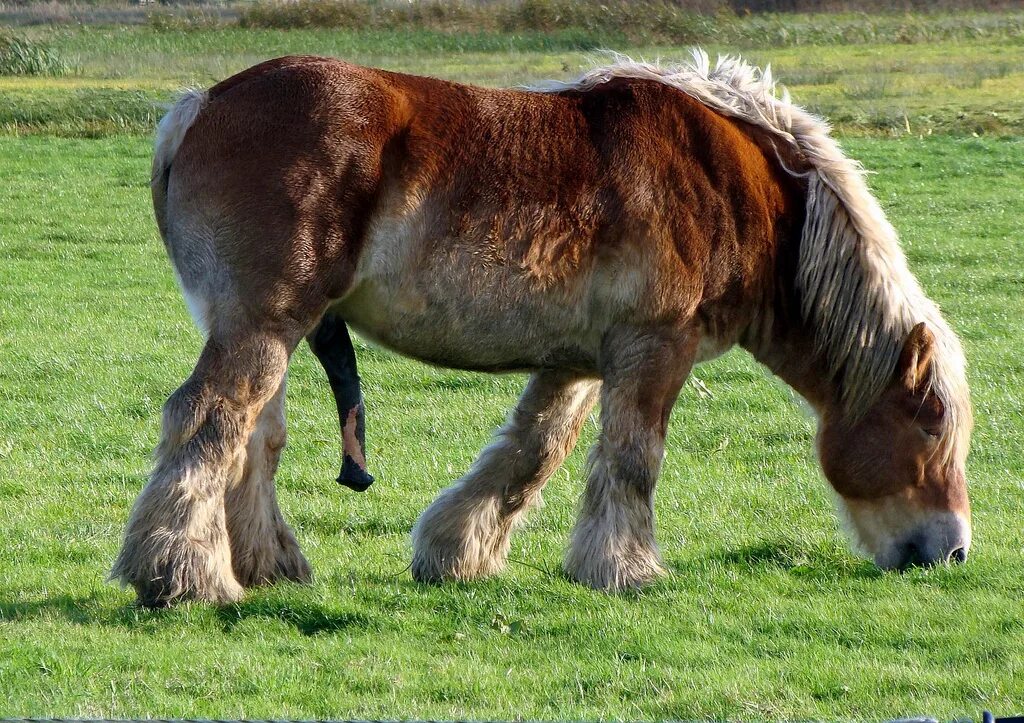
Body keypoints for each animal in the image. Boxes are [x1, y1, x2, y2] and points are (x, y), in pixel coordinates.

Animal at [112, 47, 974, 606]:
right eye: (932, 424)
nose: (954, 549)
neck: (732, 184)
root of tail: (200, 105)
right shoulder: (654, 349)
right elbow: (631, 460)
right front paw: (627, 570)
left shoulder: (581, 361)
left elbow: (531, 452)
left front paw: (456, 552)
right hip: (263, 326)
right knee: (206, 420)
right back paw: (181, 577)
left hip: (270, 330)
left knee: (253, 438)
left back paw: (267, 567)